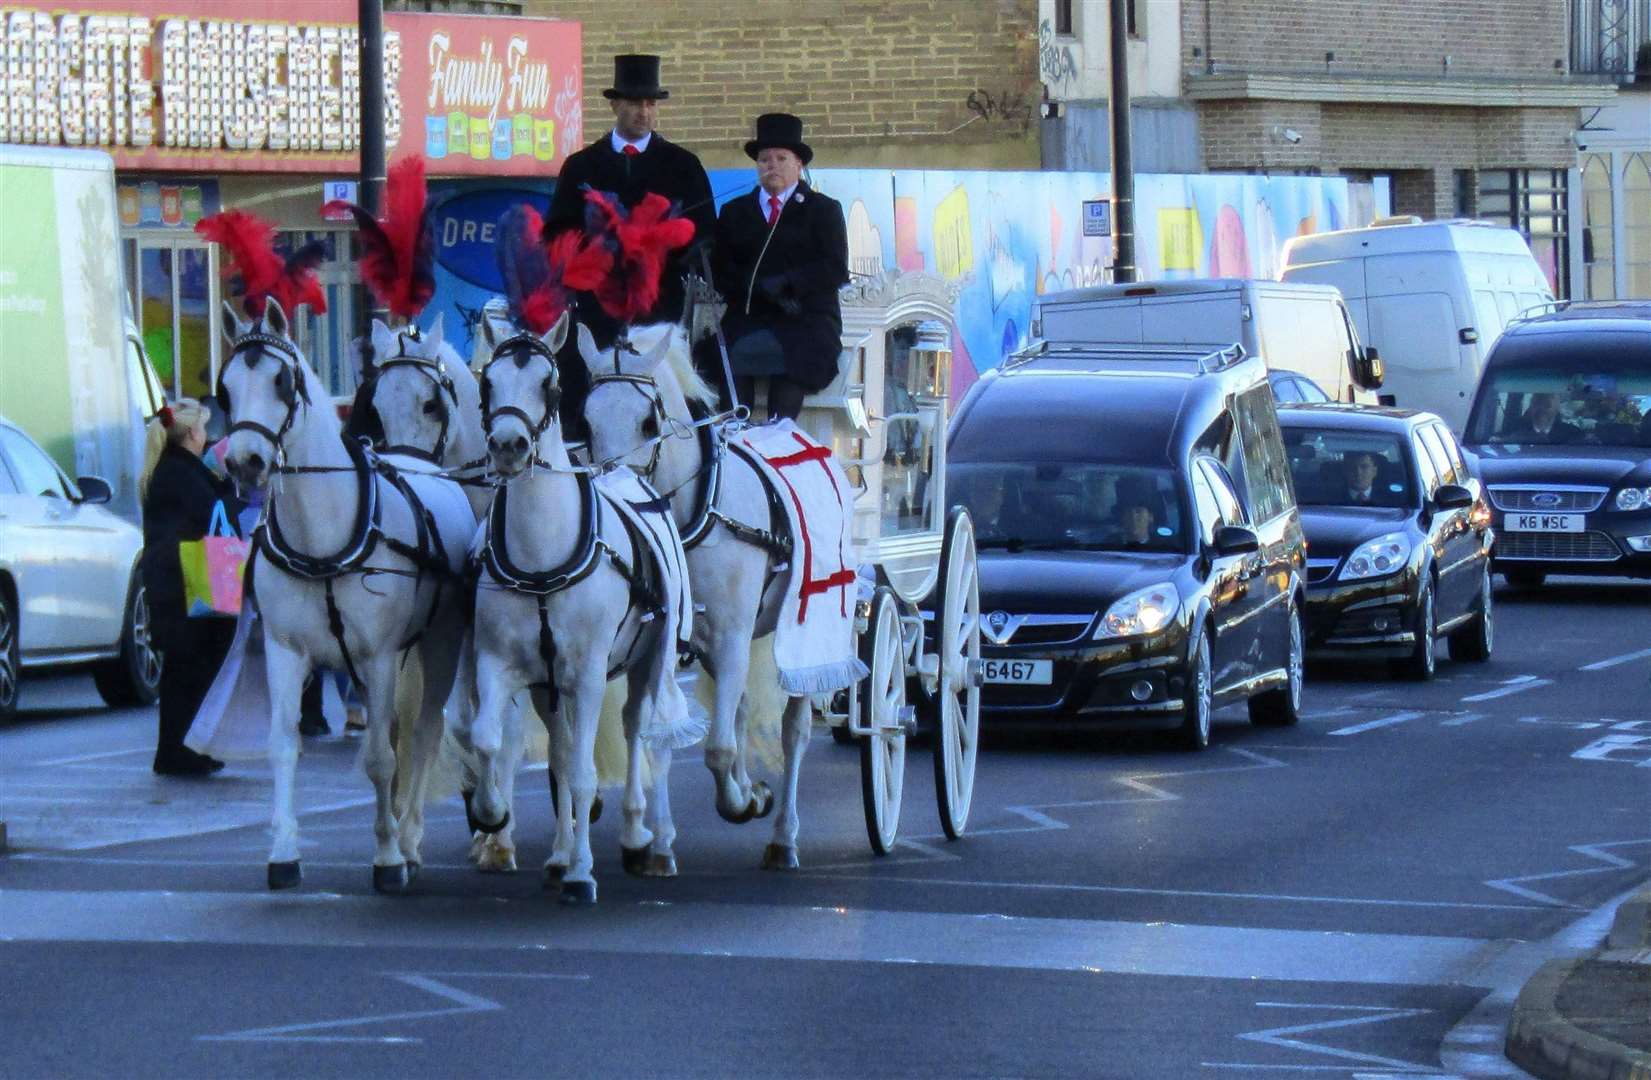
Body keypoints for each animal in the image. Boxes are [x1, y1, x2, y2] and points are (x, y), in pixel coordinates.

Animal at [214, 298, 472, 898]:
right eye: (225, 389)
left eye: (282, 381)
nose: (244, 463)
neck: (322, 536)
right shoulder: (286, 651)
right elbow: (284, 745)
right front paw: (284, 853)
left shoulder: (377, 657)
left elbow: (380, 757)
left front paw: (388, 857)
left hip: (440, 644)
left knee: (422, 732)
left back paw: (409, 838)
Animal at [462, 313, 680, 904]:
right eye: (488, 384)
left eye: (551, 385)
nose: (509, 445)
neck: (543, 554)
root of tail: (625, 473)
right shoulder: (501, 664)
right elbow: (490, 740)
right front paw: (492, 816)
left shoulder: (586, 675)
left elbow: (583, 774)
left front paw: (583, 873)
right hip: (548, 687)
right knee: (561, 752)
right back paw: (560, 855)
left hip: (649, 661)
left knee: (641, 730)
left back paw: (645, 839)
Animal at [581, 322, 818, 871]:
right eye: (585, 417)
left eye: (648, 420)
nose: (613, 488)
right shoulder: (665, 638)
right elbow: (658, 733)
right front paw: (658, 840)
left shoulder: (730, 636)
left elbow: (716, 750)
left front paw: (739, 801)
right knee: (740, 707)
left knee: (795, 729)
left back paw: (785, 836)